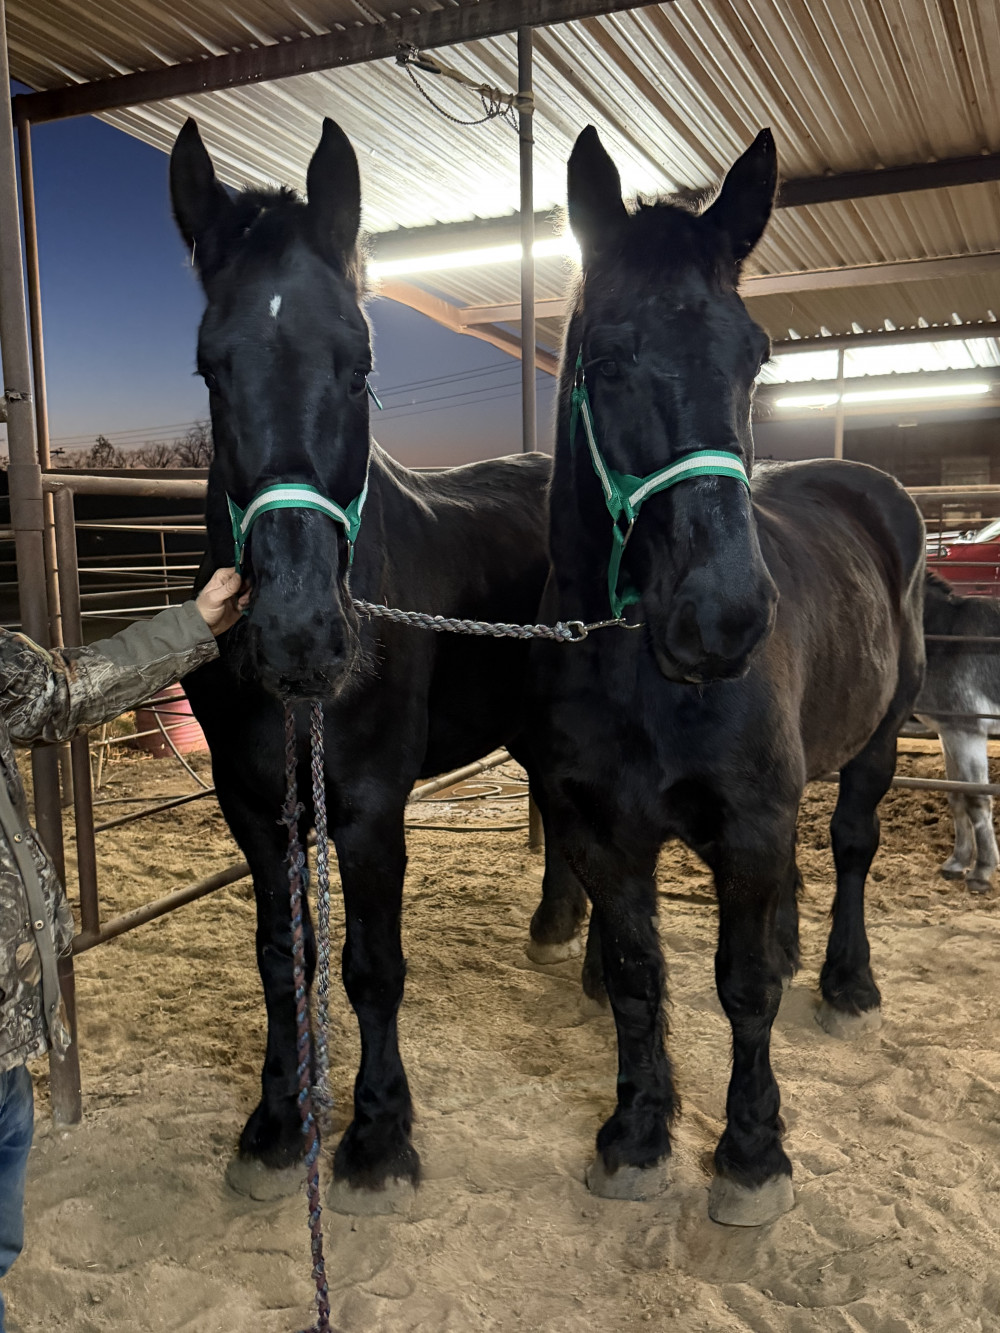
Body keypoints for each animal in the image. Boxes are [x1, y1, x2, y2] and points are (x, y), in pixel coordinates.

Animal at [169, 116, 554, 1207]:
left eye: (360, 363)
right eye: (211, 368)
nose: (299, 634)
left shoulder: (375, 805)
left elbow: (373, 964)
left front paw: (378, 1135)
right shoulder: (255, 807)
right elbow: (280, 958)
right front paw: (275, 1123)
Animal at [521, 125, 926, 1226]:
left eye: (754, 356)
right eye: (607, 359)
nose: (725, 616)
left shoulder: (746, 825)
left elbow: (740, 987)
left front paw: (750, 1154)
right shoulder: (600, 832)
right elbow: (635, 977)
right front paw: (634, 1134)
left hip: (879, 740)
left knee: (851, 846)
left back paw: (846, 982)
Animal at [917, 572, 1000, 893]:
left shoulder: (968, 734)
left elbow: (977, 799)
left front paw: (982, 871)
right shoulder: (949, 733)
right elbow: (955, 793)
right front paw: (957, 862)